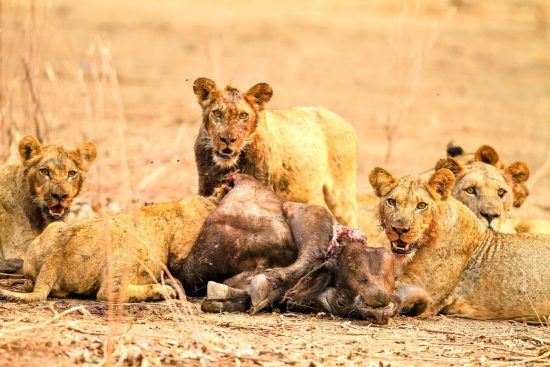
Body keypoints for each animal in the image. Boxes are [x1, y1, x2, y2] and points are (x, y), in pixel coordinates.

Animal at [194, 78, 362, 227]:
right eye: (217, 113)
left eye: (243, 115)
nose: (228, 139)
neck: (227, 167)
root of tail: (346, 123)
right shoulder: (205, 188)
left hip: (341, 196)